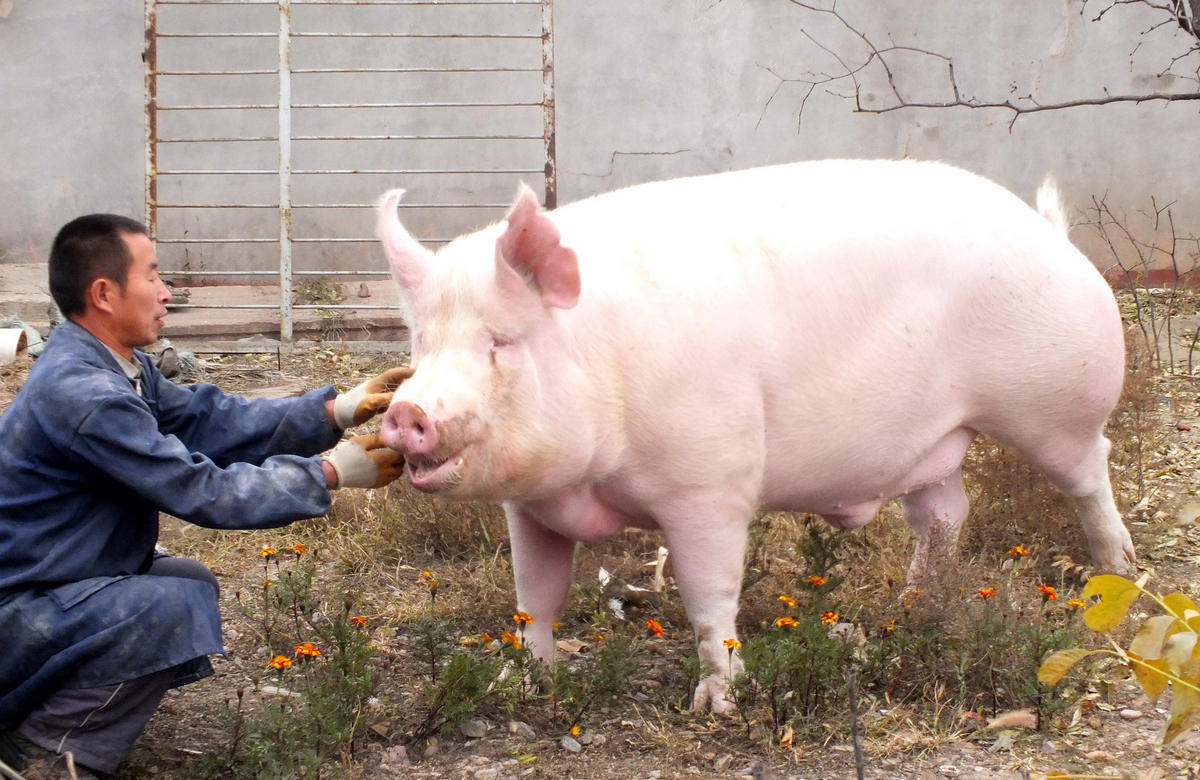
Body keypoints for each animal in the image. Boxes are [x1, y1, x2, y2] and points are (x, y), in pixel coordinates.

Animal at [379, 159, 1137, 710]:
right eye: (423, 343)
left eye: (499, 342)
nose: (406, 412)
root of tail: (1052, 233)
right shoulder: (530, 506)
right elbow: (535, 597)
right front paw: (518, 683)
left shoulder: (709, 484)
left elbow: (707, 595)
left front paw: (716, 703)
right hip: (932, 445)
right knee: (947, 511)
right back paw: (908, 607)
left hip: (1056, 403)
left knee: (1090, 471)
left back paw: (1118, 572)